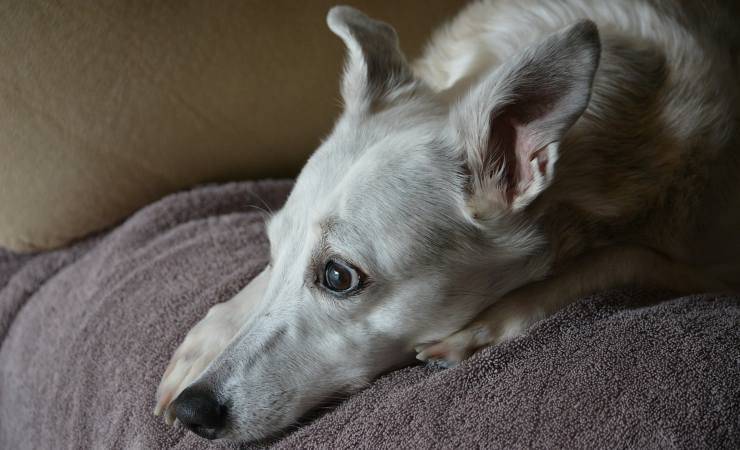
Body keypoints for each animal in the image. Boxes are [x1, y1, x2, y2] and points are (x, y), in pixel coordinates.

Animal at [153, 0, 736, 442]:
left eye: (338, 277)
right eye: (271, 251)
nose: (193, 412)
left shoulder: (708, 263)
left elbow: (619, 258)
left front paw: (483, 327)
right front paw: (208, 339)